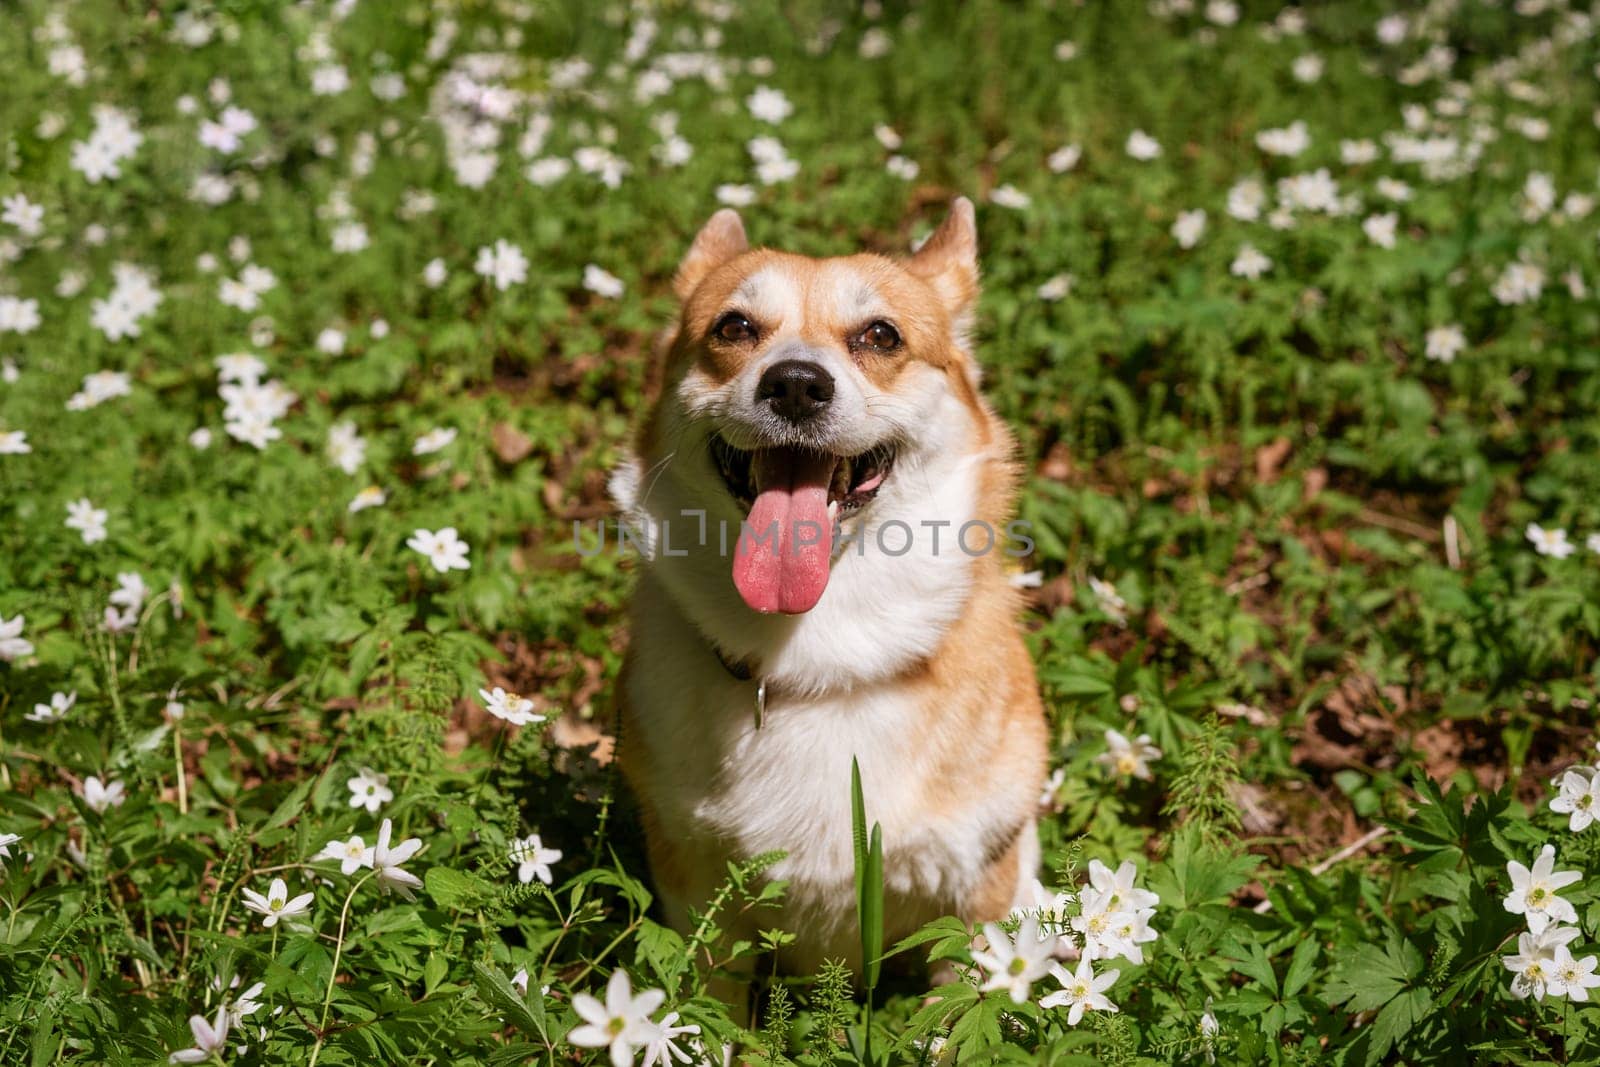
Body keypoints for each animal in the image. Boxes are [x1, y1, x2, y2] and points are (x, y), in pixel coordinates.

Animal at [604, 198, 1043, 985]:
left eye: (880, 335)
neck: (818, 655)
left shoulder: (977, 897)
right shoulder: (697, 898)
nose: (796, 384)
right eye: (734, 328)